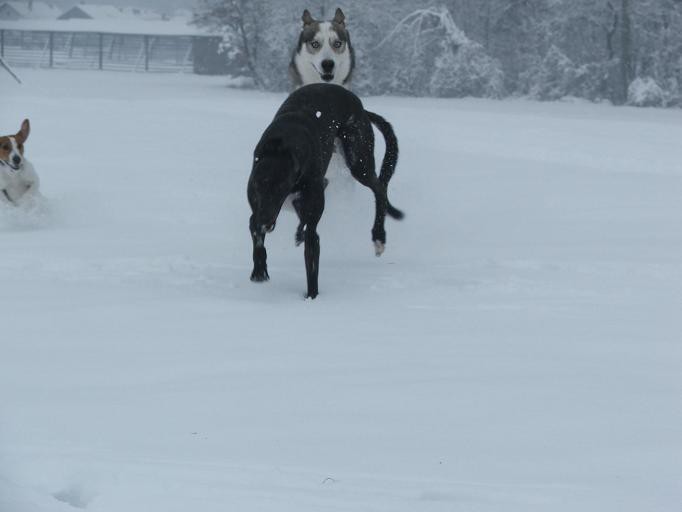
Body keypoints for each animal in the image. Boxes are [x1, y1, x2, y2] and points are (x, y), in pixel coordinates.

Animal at [247, 84, 402, 300]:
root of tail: (362, 108)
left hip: (358, 158)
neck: (281, 147)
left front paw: (312, 299)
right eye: (255, 188)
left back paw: (379, 236)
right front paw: (259, 270)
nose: (264, 223)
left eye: (281, 188)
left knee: (379, 188)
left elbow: (312, 264)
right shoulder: (257, 209)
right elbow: (256, 237)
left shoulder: (310, 225)